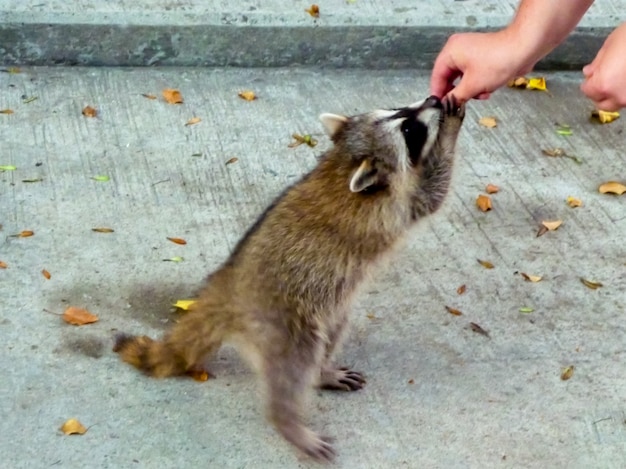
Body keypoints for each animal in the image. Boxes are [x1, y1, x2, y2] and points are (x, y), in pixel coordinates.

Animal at [113, 94, 464, 460]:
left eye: (398, 110)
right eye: (409, 129)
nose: (433, 98)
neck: (343, 161)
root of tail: (227, 287)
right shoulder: (396, 204)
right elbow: (435, 191)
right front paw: (450, 133)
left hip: (328, 308)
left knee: (331, 334)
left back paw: (322, 371)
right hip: (282, 323)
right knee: (295, 366)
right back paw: (287, 421)